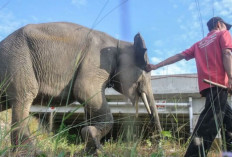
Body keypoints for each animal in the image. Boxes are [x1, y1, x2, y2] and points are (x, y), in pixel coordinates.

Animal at [0, 21, 161, 155]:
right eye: (147, 70)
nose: (158, 145)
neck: (118, 42)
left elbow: (90, 104)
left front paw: (90, 150)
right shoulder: (97, 61)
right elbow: (84, 91)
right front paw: (95, 141)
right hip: (18, 61)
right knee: (24, 96)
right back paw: (31, 152)